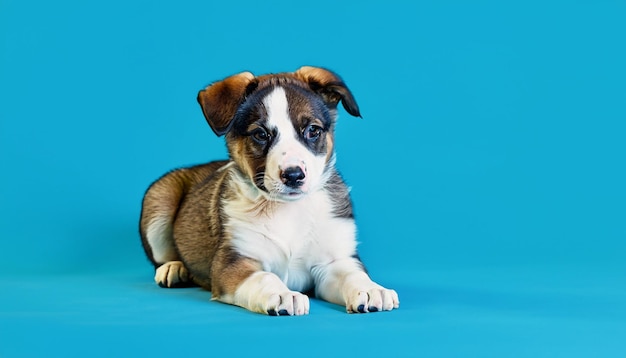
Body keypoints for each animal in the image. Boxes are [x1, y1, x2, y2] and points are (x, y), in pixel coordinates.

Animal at [138, 65, 398, 314]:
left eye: (312, 130)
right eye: (260, 134)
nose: (293, 176)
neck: (288, 209)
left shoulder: (334, 261)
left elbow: (353, 274)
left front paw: (370, 290)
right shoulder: (234, 263)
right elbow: (265, 277)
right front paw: (283, 295)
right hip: (160, 199)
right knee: (162, 256)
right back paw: (173, 268)